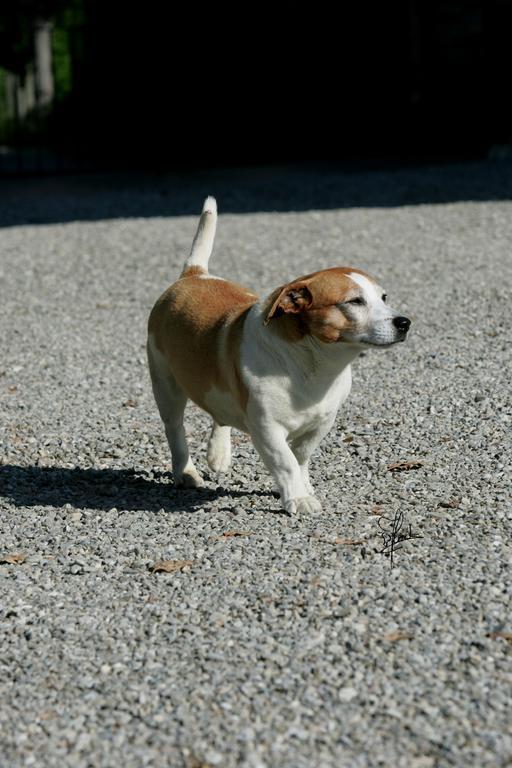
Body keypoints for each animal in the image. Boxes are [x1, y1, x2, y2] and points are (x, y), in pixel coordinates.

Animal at [146, 198, 410, 512]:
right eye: (355, 301)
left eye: (383, 297)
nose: (405, 323)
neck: (311, 364)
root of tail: (194, 274)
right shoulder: (266, 428)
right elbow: (285, 461)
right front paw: (298, 498)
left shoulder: (322, 422)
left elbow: (301, 456)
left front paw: (303, 486)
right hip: (166, 385)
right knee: (174, 428)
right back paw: (185, 473)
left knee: (219, 414)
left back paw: (219, 454)